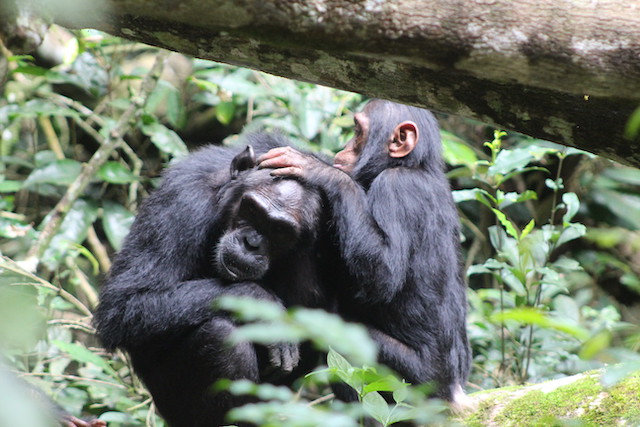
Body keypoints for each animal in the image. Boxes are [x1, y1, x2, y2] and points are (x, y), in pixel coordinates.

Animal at [95, 135, 330, 427]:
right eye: (252, 210)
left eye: (280, 231)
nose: (251, 243)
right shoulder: (181, 203)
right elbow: (124, 304)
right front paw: (264, 305)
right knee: (221, 335)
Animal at [258, 99, 472, 408]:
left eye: (358, 131)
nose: (344, 146)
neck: (410, 165)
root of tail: (454, 391)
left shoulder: (395, 188)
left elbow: (382, 276)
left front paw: (321, 171)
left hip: (415, 383)